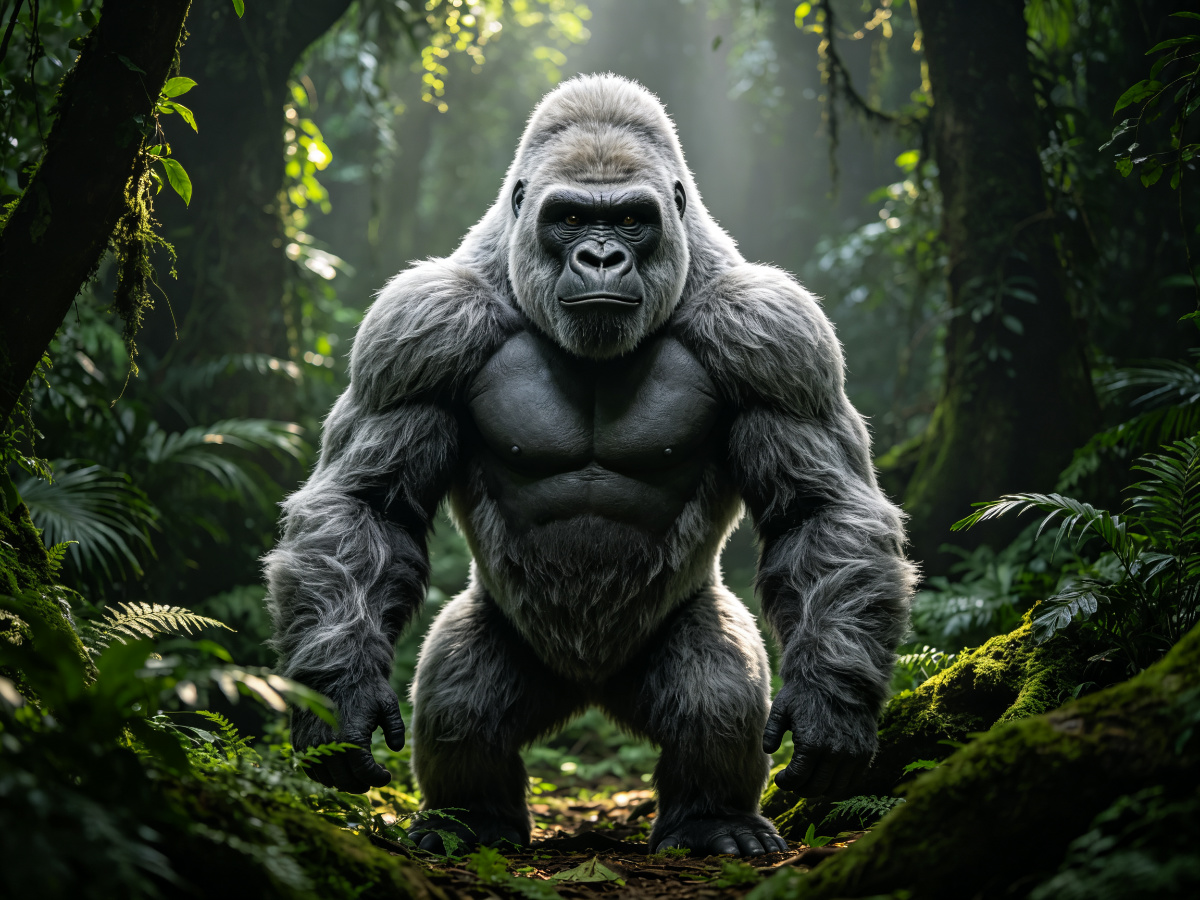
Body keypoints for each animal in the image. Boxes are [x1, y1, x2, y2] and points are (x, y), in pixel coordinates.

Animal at [265, 73, 916, 858]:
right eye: (571, 217)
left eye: (632, 221)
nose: (601, 258)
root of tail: (592, 688)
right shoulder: (418, 326)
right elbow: (367, 505)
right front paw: (341, 697)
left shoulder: (777, 334)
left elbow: (820, 512)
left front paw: (831, 705)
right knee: (460, 695)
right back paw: (470, 819)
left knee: (715, 690)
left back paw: (712, 819)